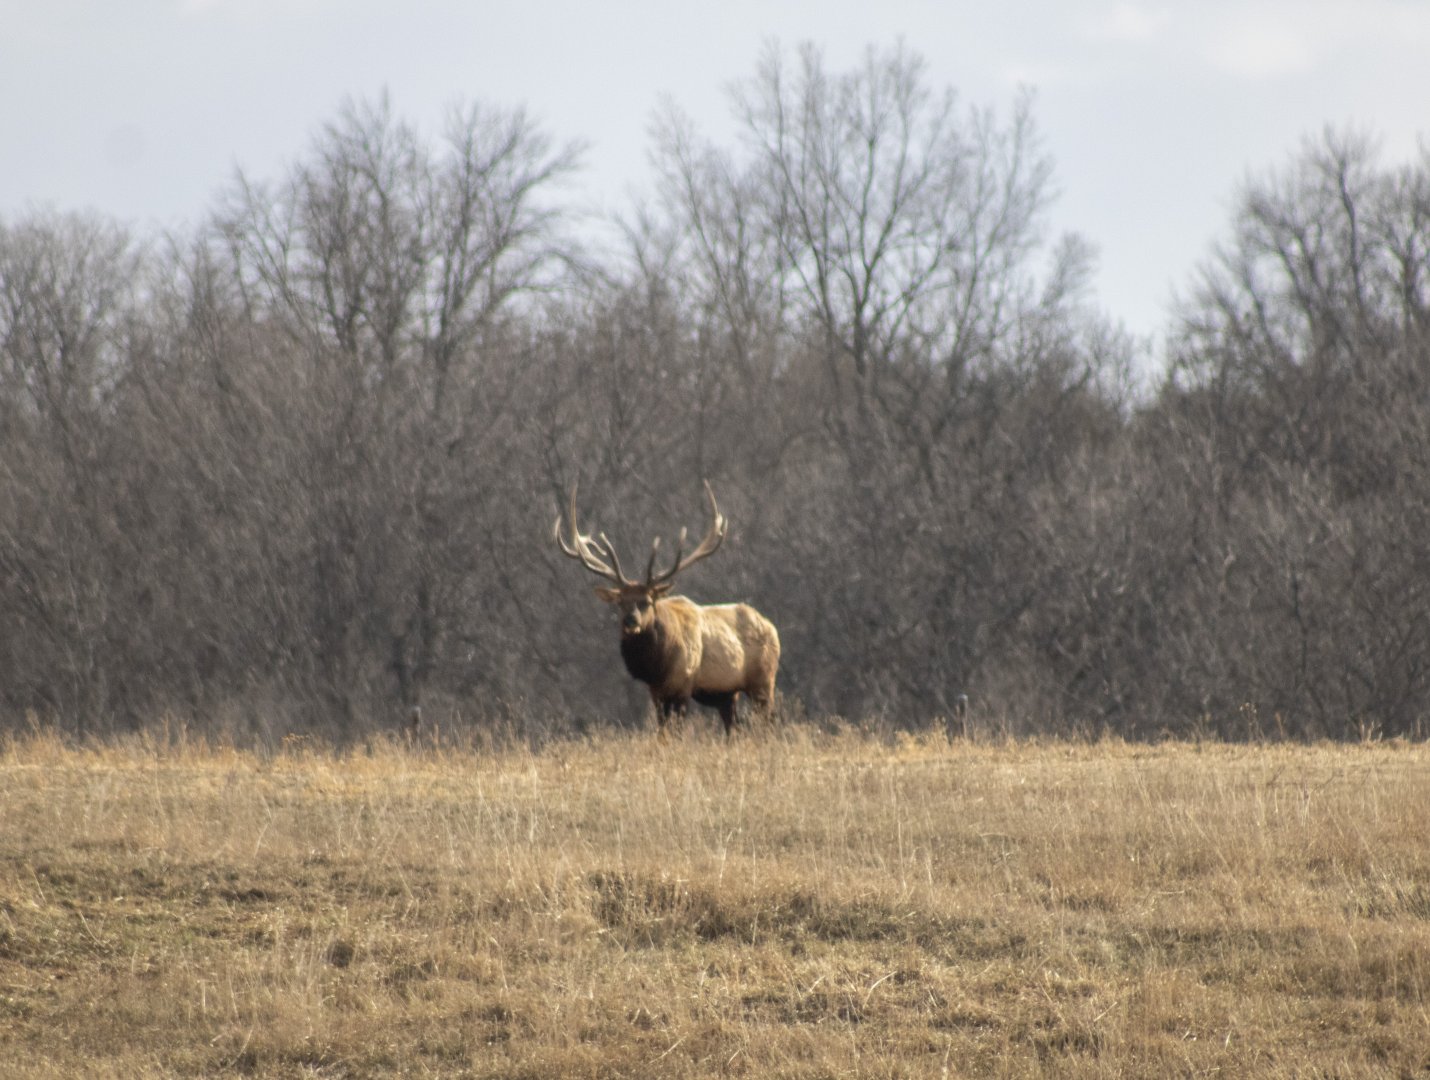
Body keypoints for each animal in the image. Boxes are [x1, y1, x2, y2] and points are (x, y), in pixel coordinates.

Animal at [554, 482, 780, 737]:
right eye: (621, 602)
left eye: (647, 601)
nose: (630, 621)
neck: (659, 665)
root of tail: (772, 628)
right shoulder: (657, 693)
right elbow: (663, 733)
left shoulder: (684, 685)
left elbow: (677, 732)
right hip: (727, 694)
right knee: (734, 728)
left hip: (764, 681)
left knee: (768, 722)